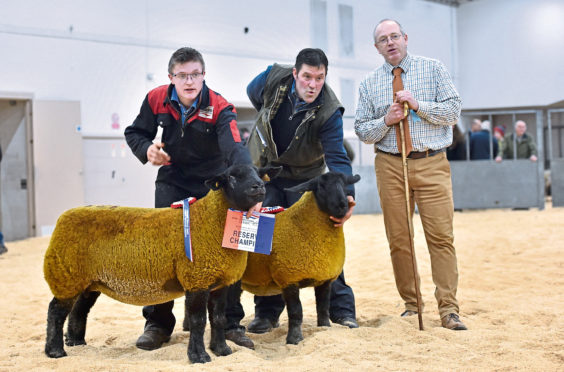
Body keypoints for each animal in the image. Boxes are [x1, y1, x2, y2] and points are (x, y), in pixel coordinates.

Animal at [43, 165, 280, 364]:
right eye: (231, 177)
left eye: (259, 173)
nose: (258, 186)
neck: (210, 220)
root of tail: (65, 216)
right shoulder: (197, 279)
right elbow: (198, 321)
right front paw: (199, 357)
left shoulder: (219, 283)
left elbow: (218, 319)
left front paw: (222, 350)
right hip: (66, 275)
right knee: (55, 312)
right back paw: (55, 351)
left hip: (88, 280)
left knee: (79, 310)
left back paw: (76, 342)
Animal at [240, 173, 360, 344]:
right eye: (321, 186)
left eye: (344, 185)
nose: (342, 206)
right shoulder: (289, 279)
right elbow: (296, 312)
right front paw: (294, 339)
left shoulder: (324, 279)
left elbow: (323, 308)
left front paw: (325, 329)